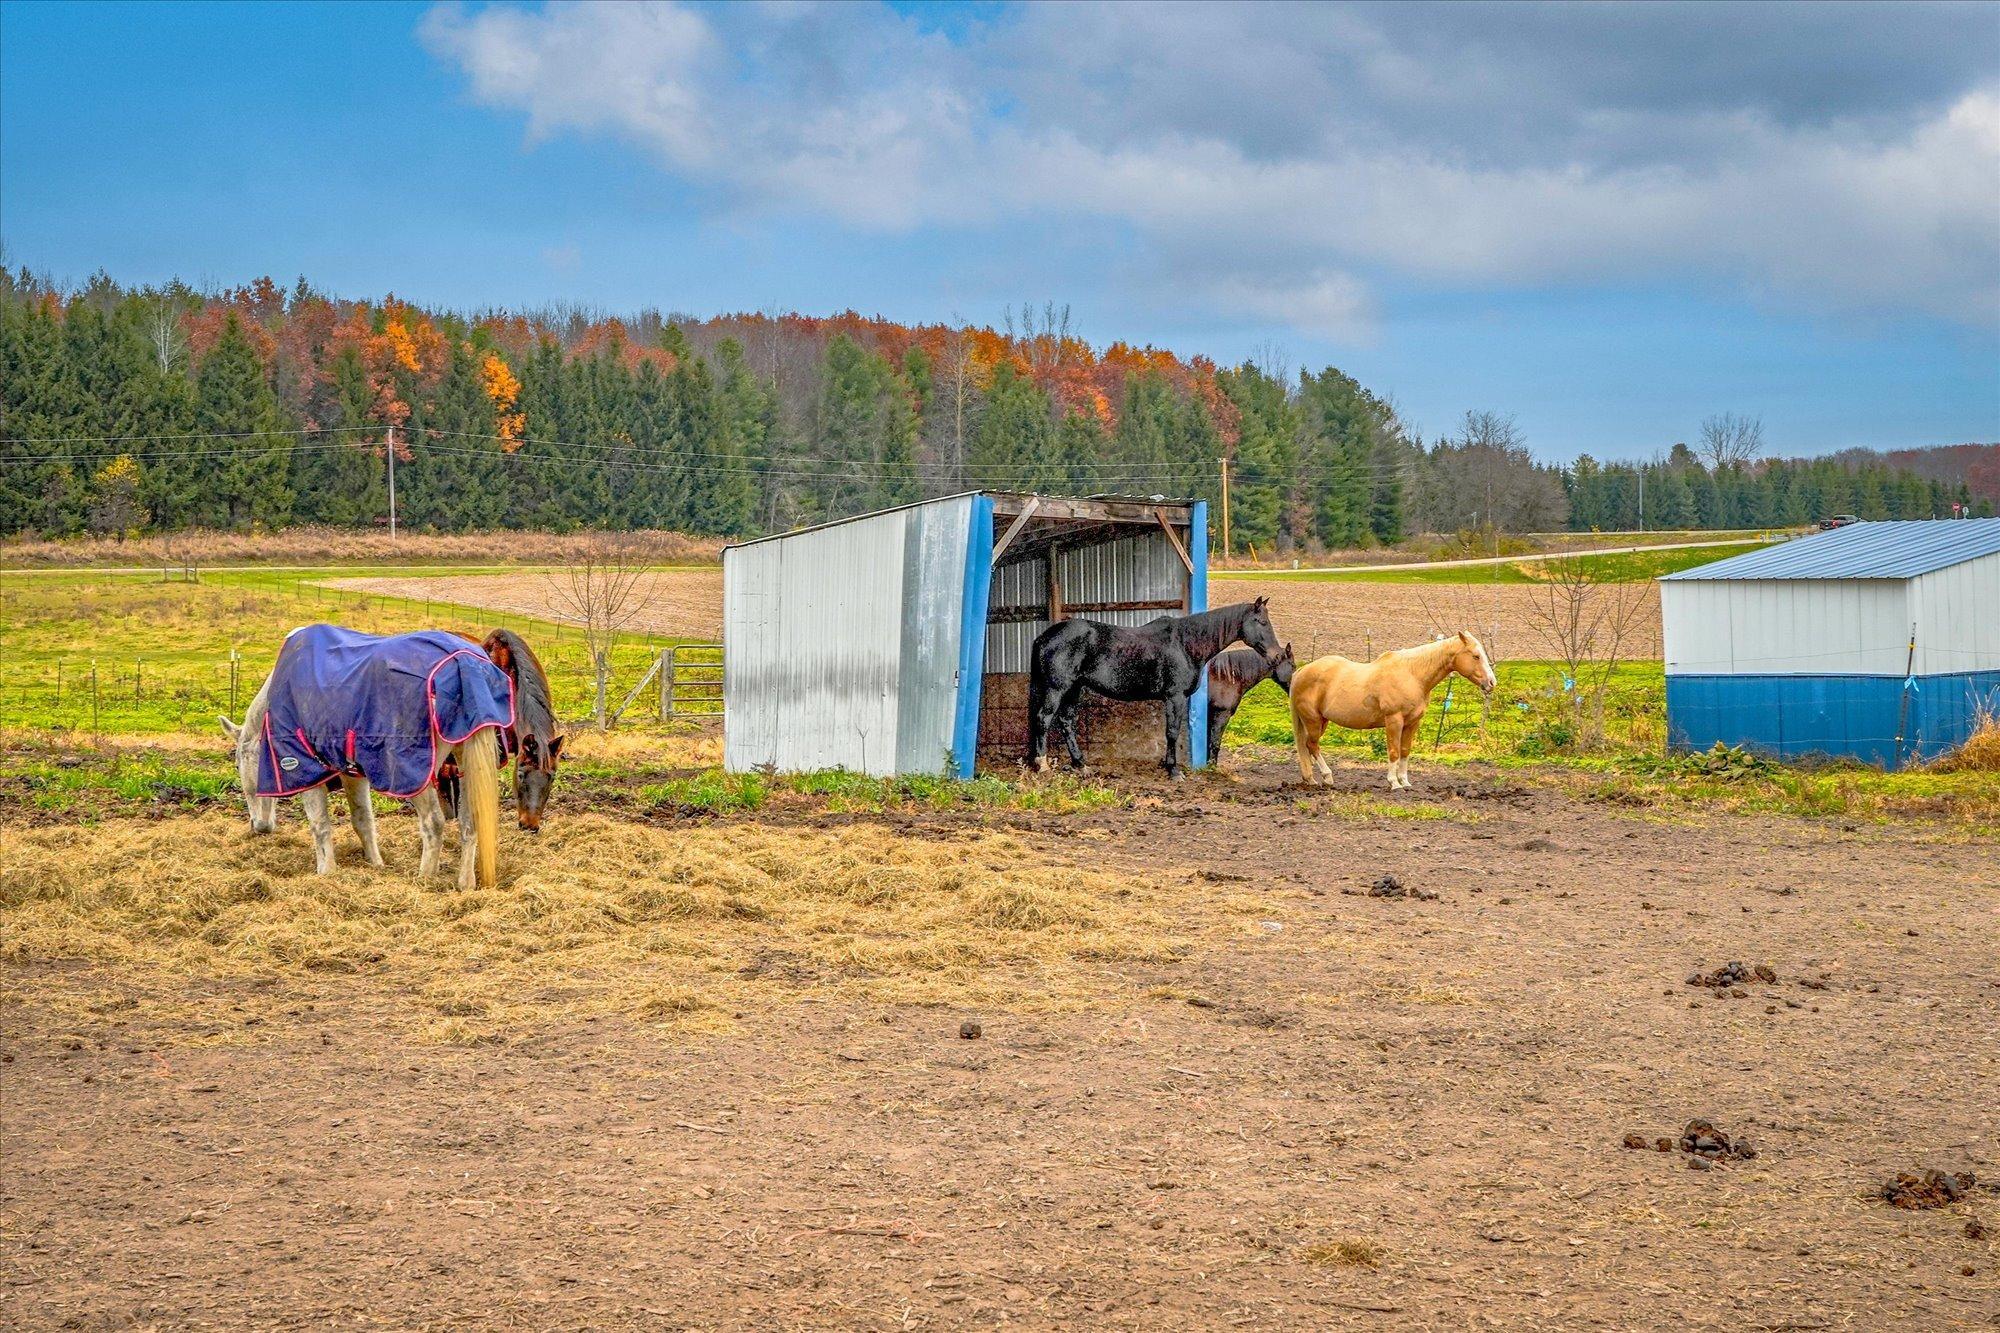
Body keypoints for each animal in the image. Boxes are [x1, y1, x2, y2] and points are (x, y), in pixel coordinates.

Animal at [220, 625, 512, 890]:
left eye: (237, 764)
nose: (259, 826)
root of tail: (462, 661)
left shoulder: (307, 770)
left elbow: (319, 825)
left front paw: (326, 872)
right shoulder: (353, 774)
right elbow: (363, 821)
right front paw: (375, 864)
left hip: (414, 775)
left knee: (434, 823)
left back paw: (424, 879)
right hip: (467, 765)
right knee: (470, 823)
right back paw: (466, 884)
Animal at [1028, 598, 1283, 778]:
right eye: (1262, 622)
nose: (1277, 655)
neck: (1185, 644)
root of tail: (1043, 637)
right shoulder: (1175, 697)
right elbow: (1172, 732)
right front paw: (1173, 770)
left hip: (1074, 688)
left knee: (1066, 722)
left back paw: (1080, 764)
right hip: (1057, 688)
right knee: (1044, 718)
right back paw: (1043, 765)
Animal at [1288, 631, 1495, 791]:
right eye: (1476, 656)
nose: (1492, 682)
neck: (1412, 674)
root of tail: (1301, 672)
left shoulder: (1412, 723)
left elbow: (1404, 751)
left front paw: (1405, 782)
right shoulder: (1394, 720)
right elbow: (1394, 751)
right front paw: (1394, 783)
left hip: (1321, 721)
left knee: (1308, 746)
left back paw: (1312, 779)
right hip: (1313, 720)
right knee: (1312, 745)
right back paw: (1327, 776)